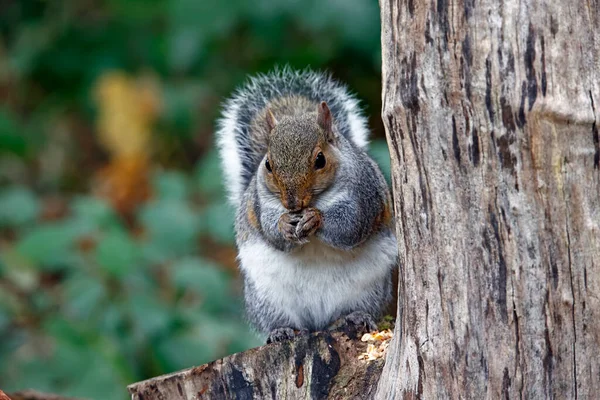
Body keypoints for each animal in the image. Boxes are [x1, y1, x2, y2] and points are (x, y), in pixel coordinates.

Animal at [217, 67, 398, 342]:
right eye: (267, 164)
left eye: (320, 160)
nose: (292, 203)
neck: (315, 200)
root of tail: (317, 324)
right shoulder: (261, 204)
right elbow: (271, 231)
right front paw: (283, 225)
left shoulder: (364, 195)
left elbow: (351, 226)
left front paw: (315, 219)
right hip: (269, 300)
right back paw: (281, 331)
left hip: (369, 291)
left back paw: (353, 317)